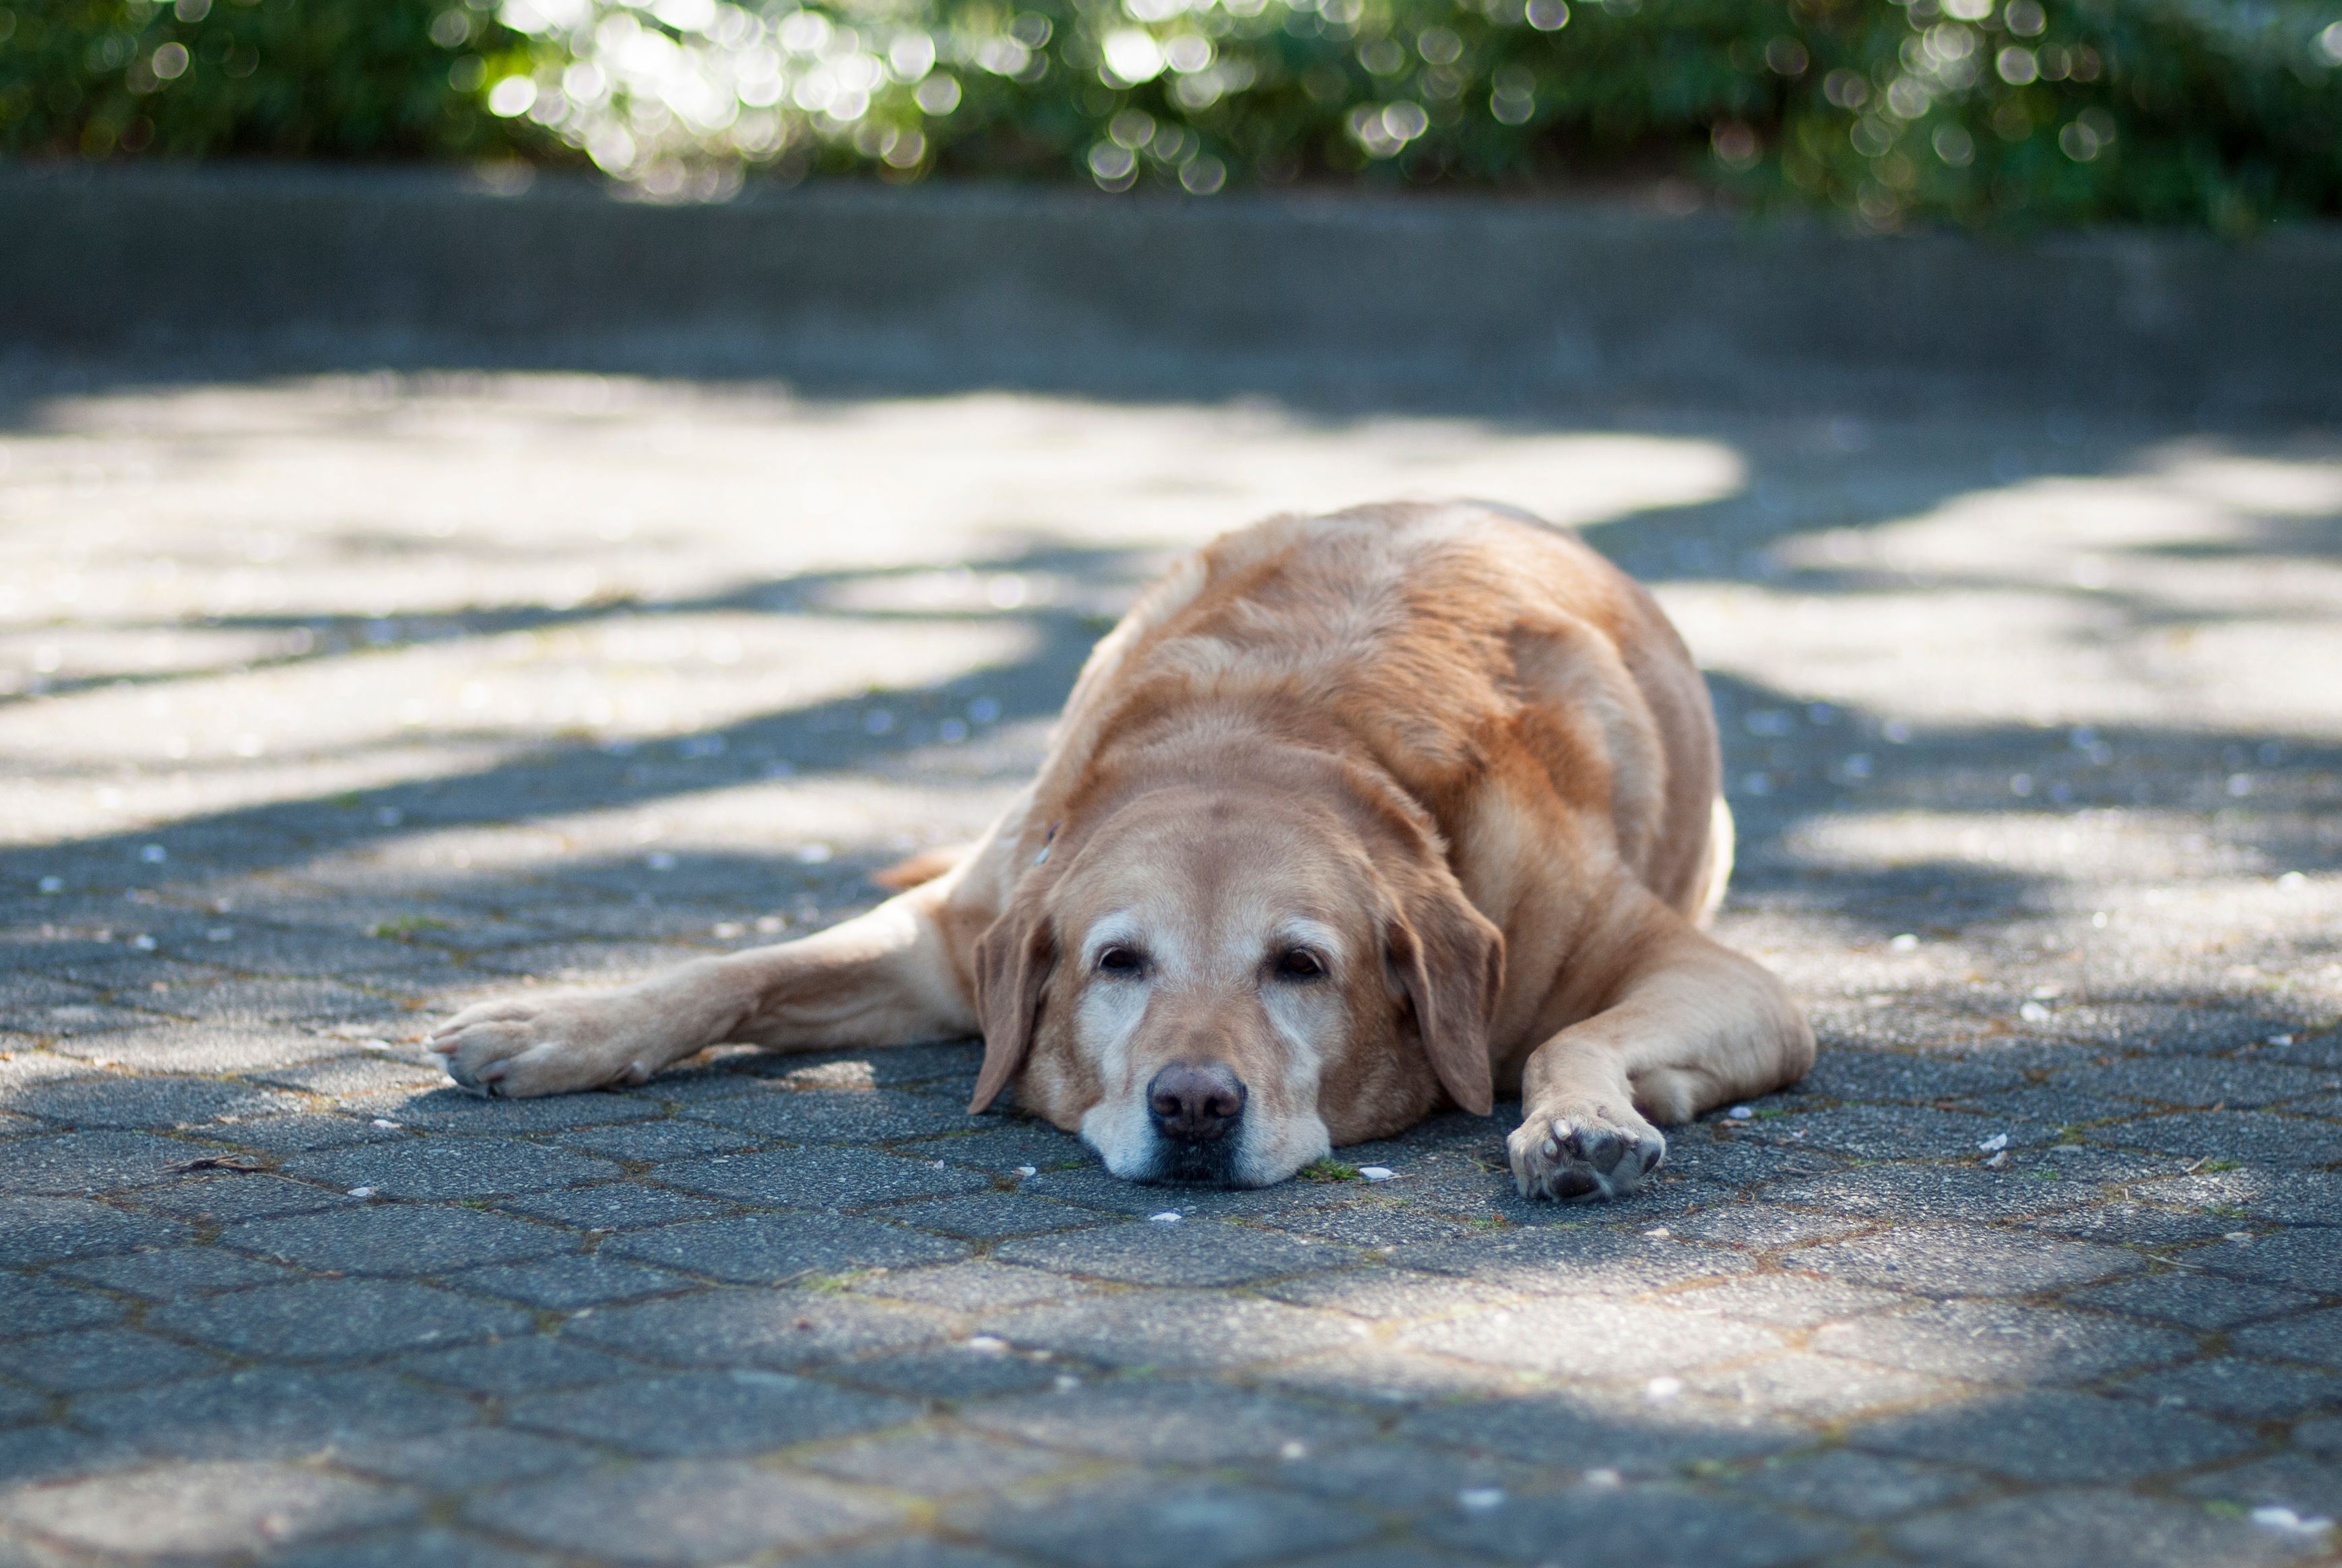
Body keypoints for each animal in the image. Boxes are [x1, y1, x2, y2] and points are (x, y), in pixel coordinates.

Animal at [435, 503, 1808, 1207]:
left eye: (1300, 966)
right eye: (1117, 962)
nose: (1193, 1105)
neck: (1269, 733)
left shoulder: (1725, 978)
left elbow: (1569, 1039)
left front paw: (1577, 1121)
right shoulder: (954, 937)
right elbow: (735, 970)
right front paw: (562, 1023)